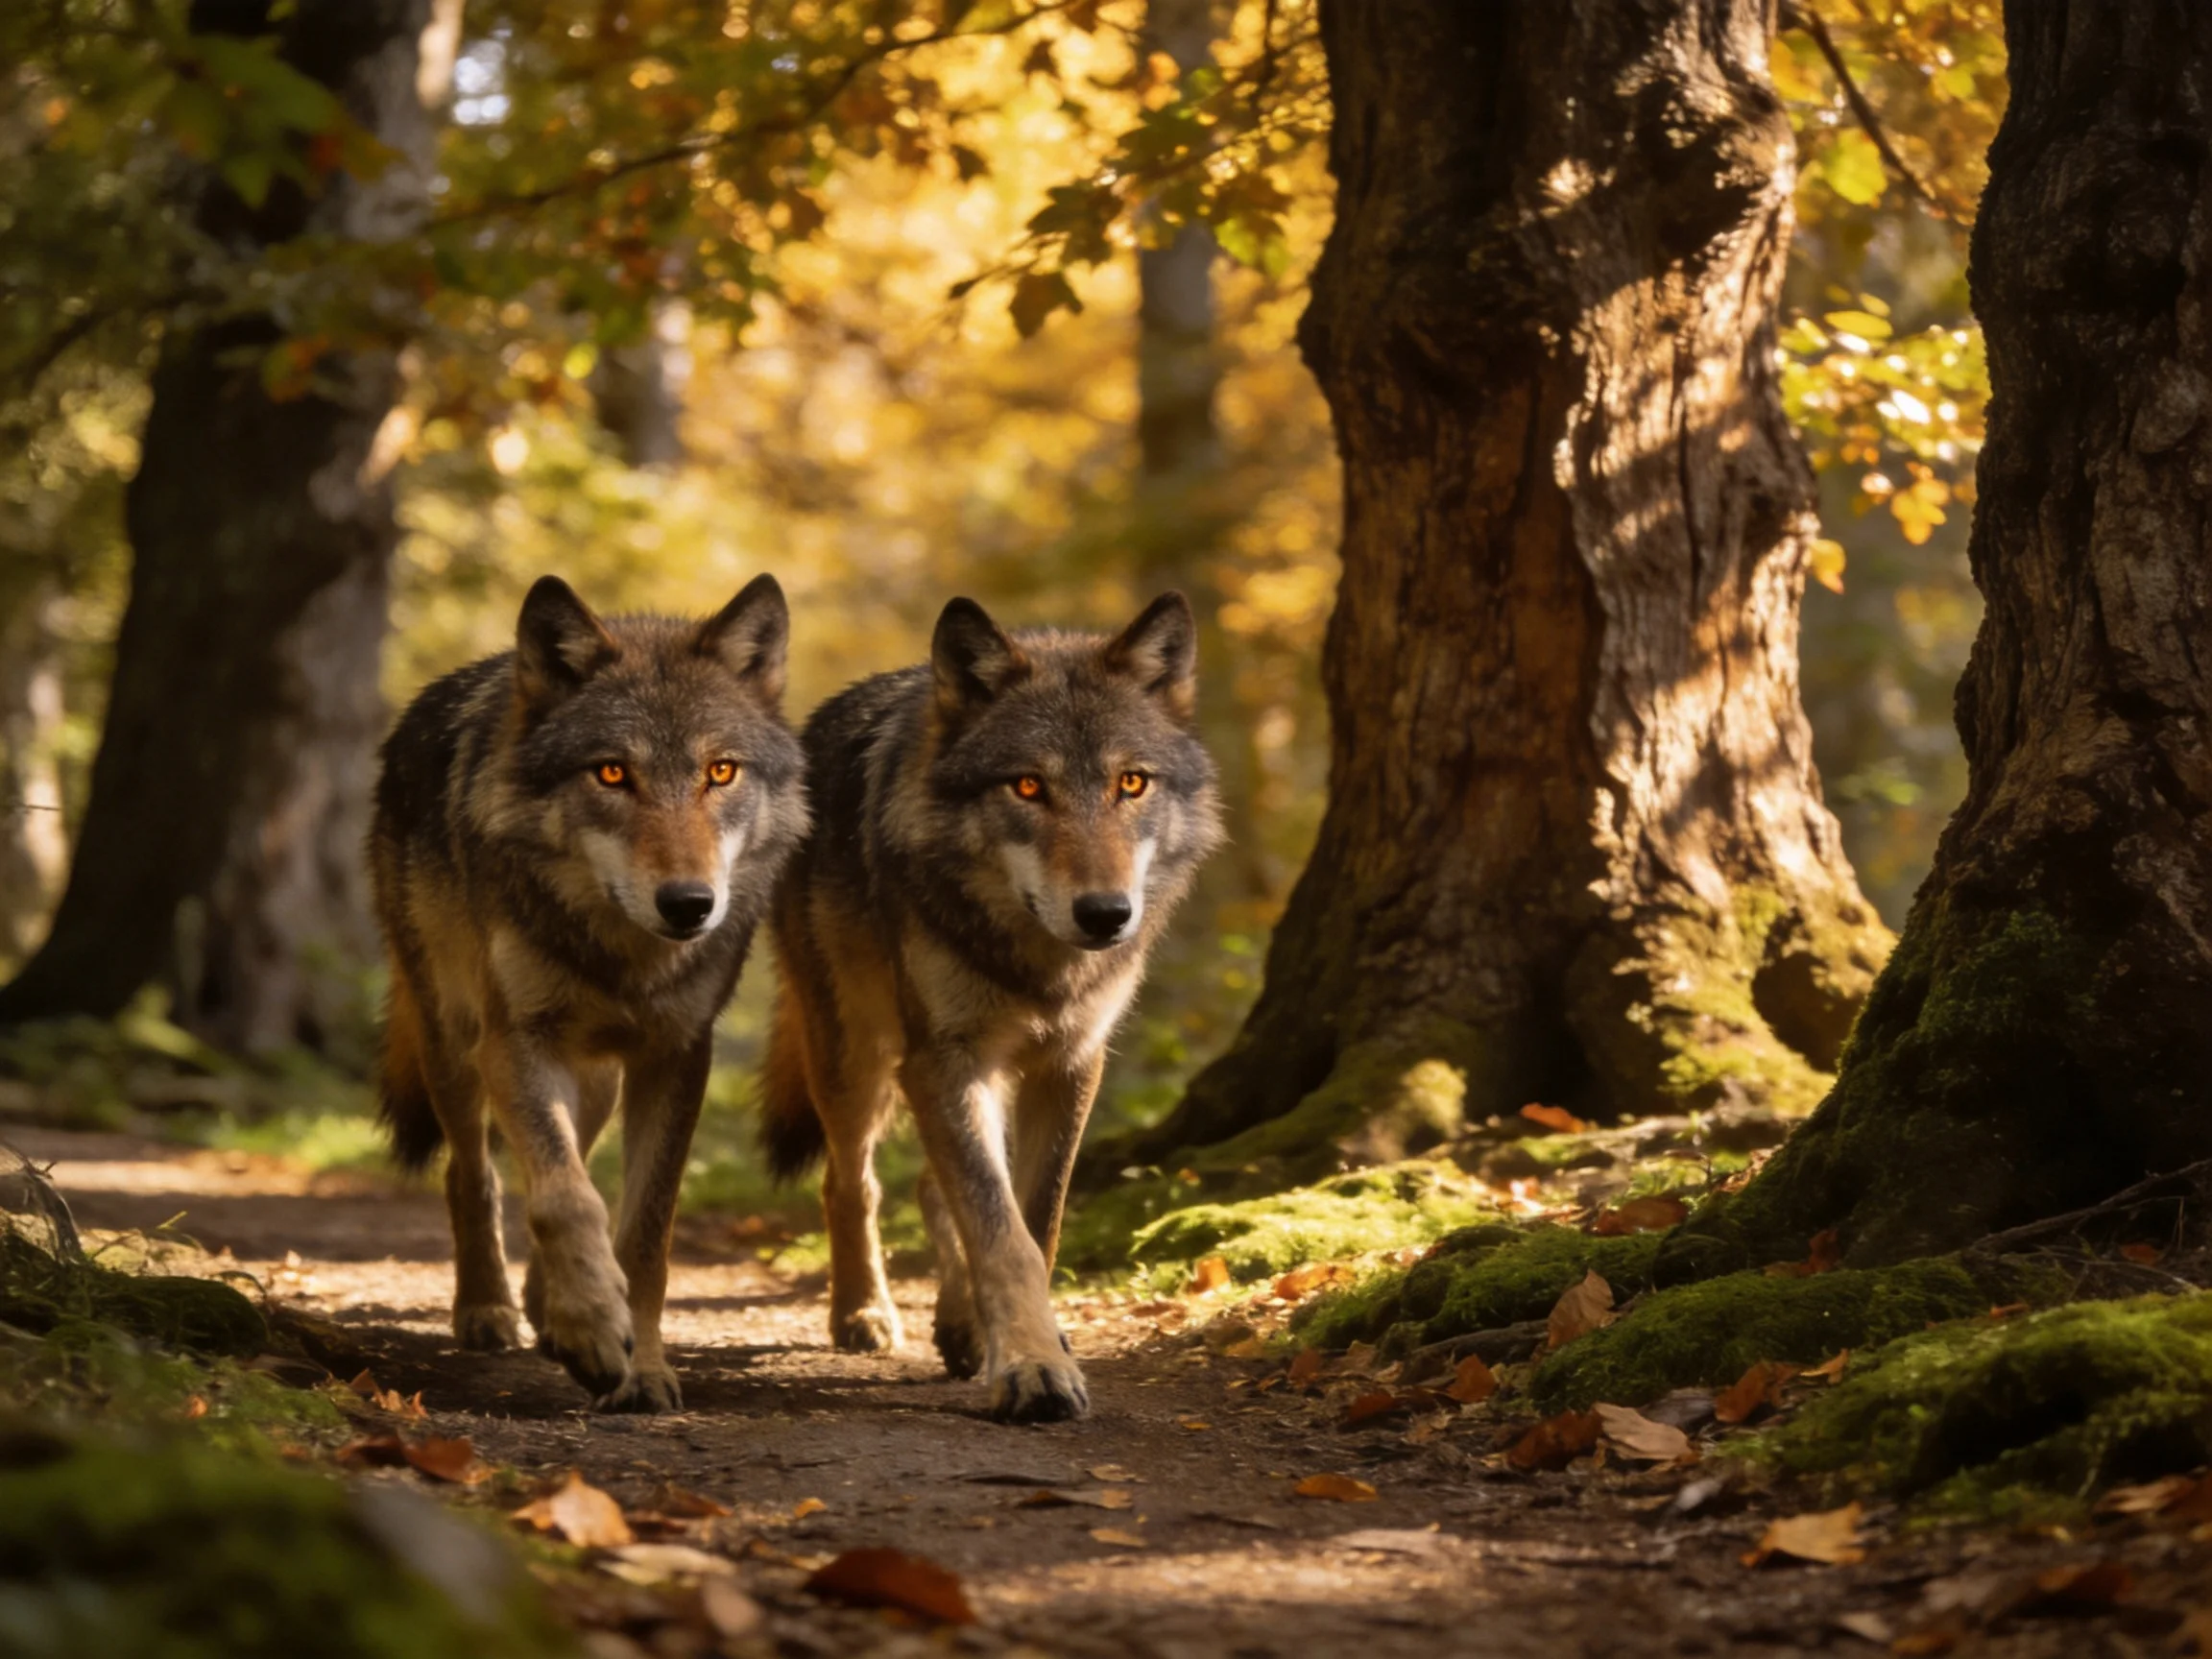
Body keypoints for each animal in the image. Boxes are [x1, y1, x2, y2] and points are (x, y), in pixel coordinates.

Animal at [371, 573, 806, 1412]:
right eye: (611, 773)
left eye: (721, 772)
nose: (689, 904)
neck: (624, 958)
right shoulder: (516, 1041)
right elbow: (563, 1197)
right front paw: (598, 1334)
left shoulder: (677, 1056)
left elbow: (642, 1230)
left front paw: (641, 1365)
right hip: (453, 1043)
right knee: (475, 1172)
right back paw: (490, 1309)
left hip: (597, 1076)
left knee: (569, 1156)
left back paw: (553, 1308)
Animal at [760, 592, 1222, 1422]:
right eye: (1028, 787)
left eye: (1132, 784)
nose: (1106, 914)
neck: (1036, 964)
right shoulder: (945, 1057)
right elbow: (999, 1230)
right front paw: (1033, 1368)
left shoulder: (1070, 1063)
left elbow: (1033, 1222)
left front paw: (1013, 1341)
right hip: (855, 1055)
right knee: (852, 1181)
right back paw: (863, 1312)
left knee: (929, 1185)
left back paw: (958, 1323)